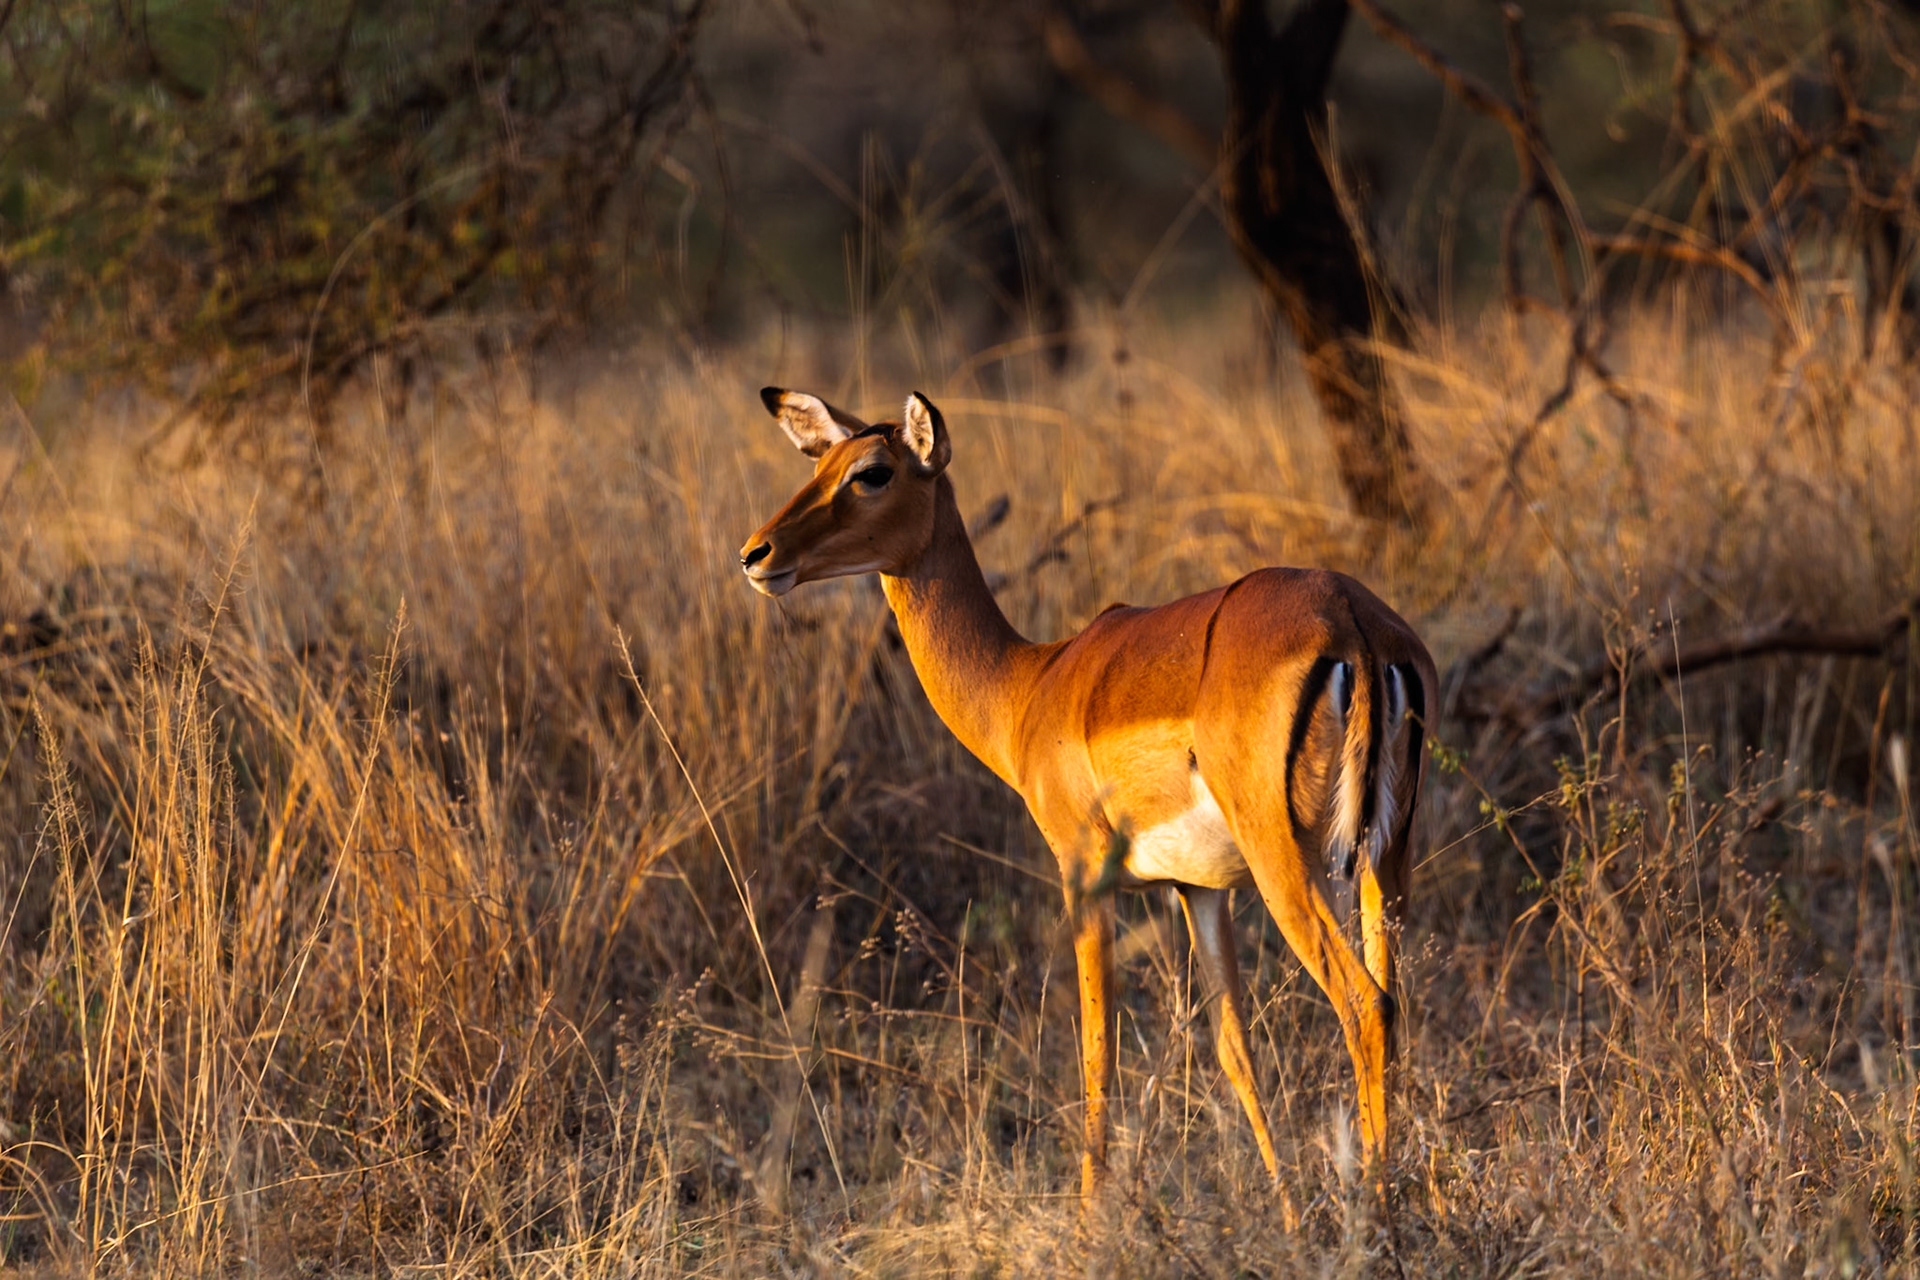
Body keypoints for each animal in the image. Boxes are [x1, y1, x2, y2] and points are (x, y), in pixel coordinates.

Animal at [738, 387, 1434, 1202]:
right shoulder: (1199, 890)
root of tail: (1352, 620)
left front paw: (1090, 1216)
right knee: (1393, 999)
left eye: (873, 472)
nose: (757, 554)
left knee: (1364, 1003)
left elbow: (1098, 1053)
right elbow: (1234, 1049)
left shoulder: (1083, 877)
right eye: (821, 465)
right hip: (1385, 858)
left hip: (1287, 862)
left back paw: (1378, 1206)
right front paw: (1286, 1212)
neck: (1029, 685)